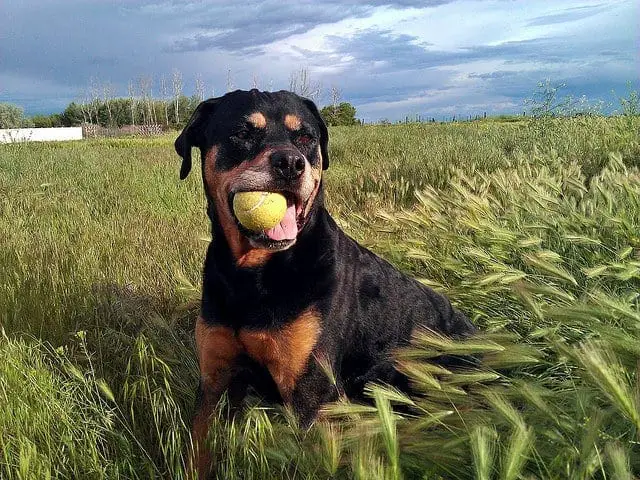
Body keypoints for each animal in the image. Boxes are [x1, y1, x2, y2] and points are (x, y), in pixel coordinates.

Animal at [175, 90, 476, 476]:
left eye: (306, 138)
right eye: (242, 133)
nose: (291, 163)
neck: (253, 274)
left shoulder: (311, 393)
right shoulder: (214, 380)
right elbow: (198, 452)